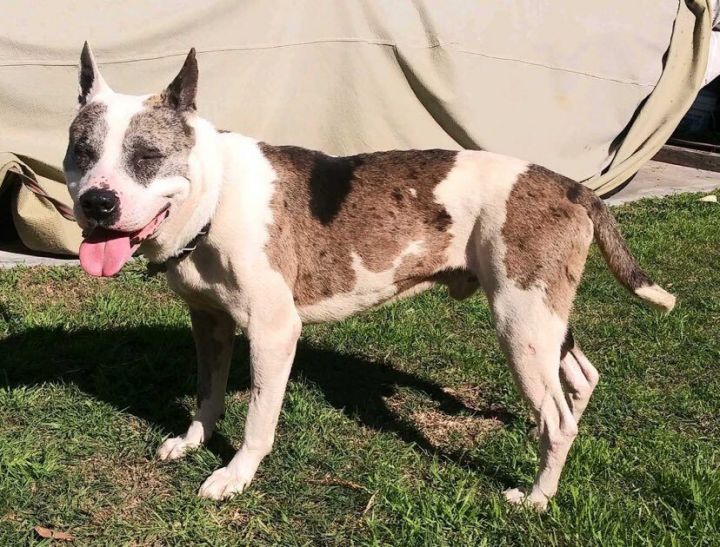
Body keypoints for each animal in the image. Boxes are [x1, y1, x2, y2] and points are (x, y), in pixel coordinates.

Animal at [62, 45, 676, 512]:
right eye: (81, 152)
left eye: (148, 156)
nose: (97, 203)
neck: (215, 194)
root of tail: (574, 186)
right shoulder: (208, 322)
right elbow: (207, 394)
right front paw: (193, 441)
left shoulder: (272, 332)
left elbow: (258, 418)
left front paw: (235, 475)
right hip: (542, 316)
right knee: (581, 378)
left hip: (519, 322)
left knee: (558, 417)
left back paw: (537, 497)